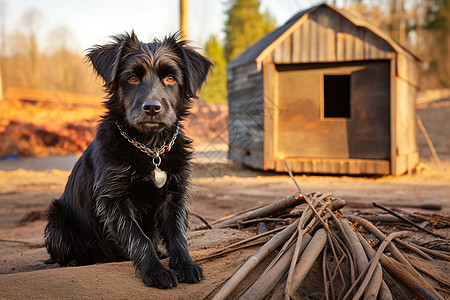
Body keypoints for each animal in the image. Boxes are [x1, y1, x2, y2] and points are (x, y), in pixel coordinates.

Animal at [44, 32, 214, 288]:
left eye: (171, 78)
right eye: (132, 78)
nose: (152, 108)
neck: (151, 148)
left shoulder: (174, 196)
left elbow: (177, 235)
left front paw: (185, 264)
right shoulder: (113, 200)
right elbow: (139, 238)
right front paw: (155, 270)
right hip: (56, 222)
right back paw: (77, 261)